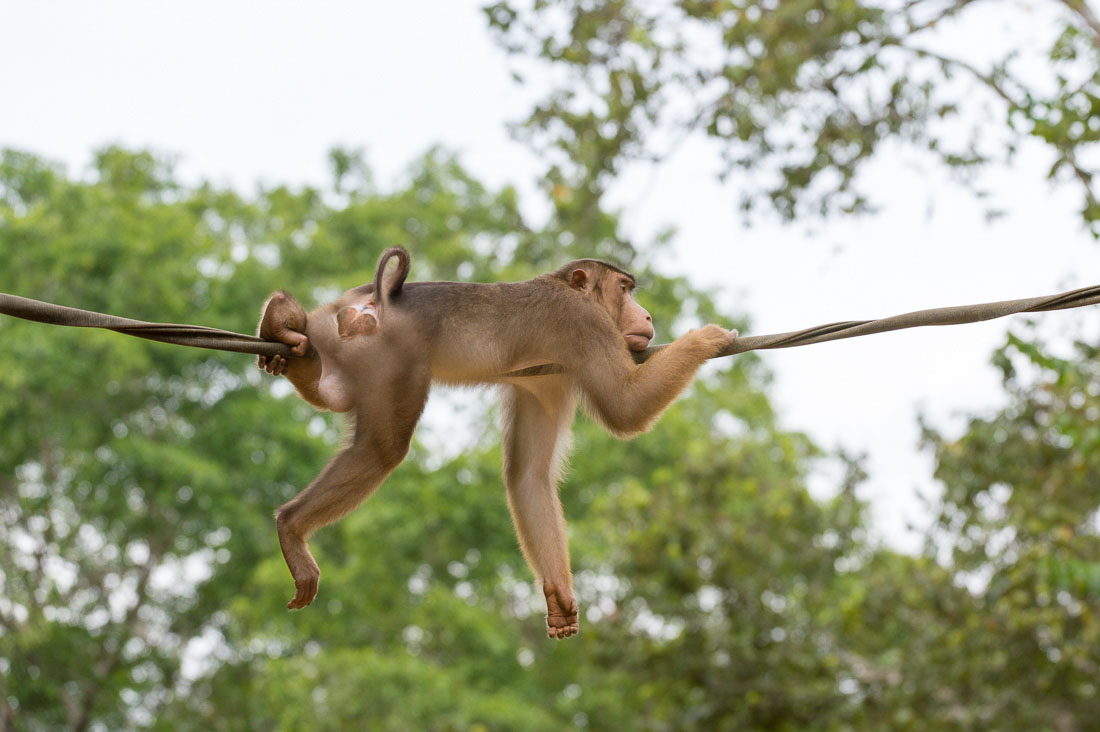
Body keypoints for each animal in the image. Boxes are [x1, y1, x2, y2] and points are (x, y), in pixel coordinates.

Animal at [257, 248, 739, 638]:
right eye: (625, 289)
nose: (648, 316)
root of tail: (378, 297)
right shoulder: (581, 323)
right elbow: (626, 409)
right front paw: (707, 337)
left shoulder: (550, 379)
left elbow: (528, 476)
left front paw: (558, 595)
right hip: (389, 355)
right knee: (383, 447)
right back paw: (292, 527)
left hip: (336, 331)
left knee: (331, 389)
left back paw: (285, 332)